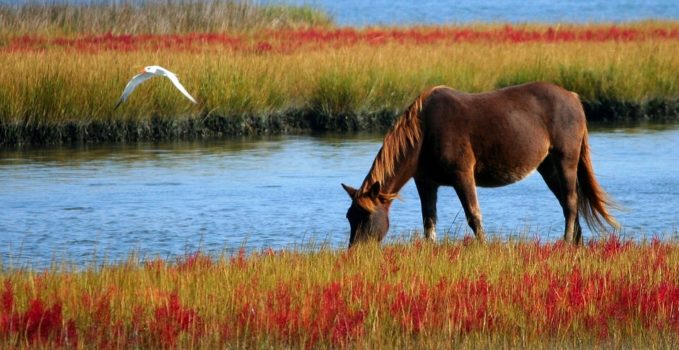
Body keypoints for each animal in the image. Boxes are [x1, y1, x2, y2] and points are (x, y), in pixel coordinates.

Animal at [342, 81, 620, 246]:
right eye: (349, 216)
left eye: (366, 217)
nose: (356, 252)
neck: (424, 132)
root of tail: (573, 97)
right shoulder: (426, 182)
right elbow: (429, 220)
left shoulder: (462, 175)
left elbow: (473, 215)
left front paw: (483, 247)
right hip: (548, 166)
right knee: (567, 202)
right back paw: (576, 243)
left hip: (565, 159)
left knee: (571, 202)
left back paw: (565, 242)